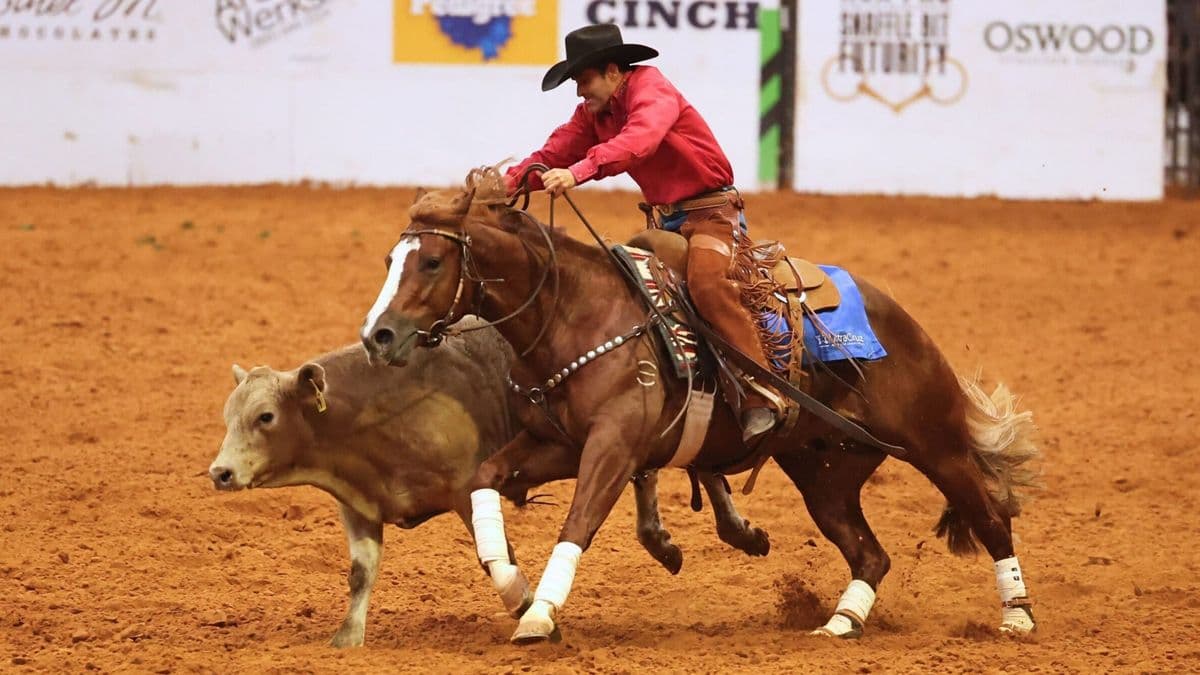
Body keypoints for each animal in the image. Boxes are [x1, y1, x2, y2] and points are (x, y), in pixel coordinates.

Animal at [358, 170, 1041, 645]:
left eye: (433, 260)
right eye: (390, 259)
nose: (377, 337)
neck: (579, 314)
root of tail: (896, 315)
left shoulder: (612, 446)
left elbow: (577, 523)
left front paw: (542, 614)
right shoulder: (557, 446)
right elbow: (484, 480)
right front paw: (516, 592)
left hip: (935, 443)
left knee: (990, 519)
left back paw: (1017, 617)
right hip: (826, 472)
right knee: (871, 553)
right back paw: (841, 623)